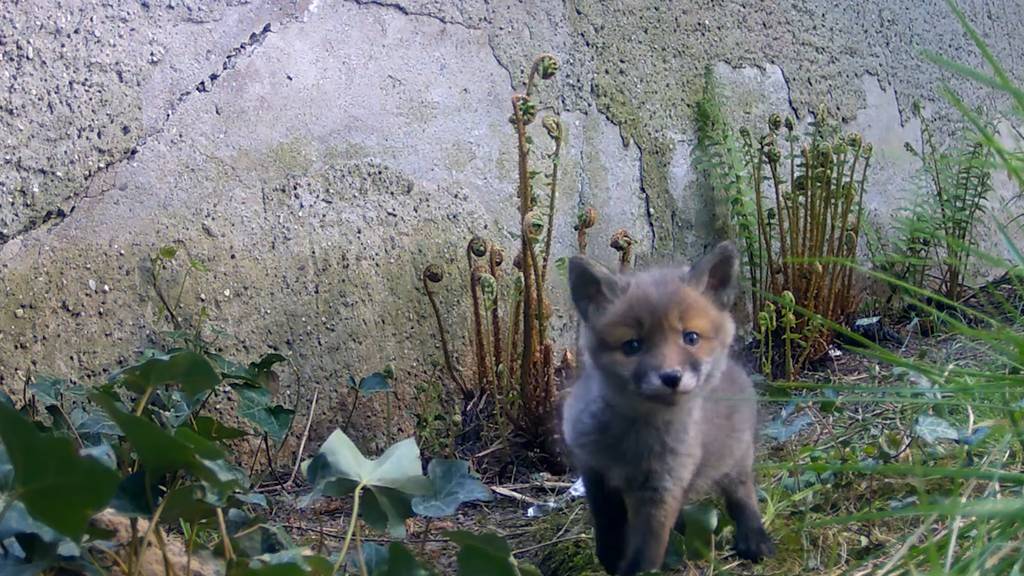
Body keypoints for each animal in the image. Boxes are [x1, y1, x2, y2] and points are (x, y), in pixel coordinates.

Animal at [562, 241, 774, 575]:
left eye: (691, 338)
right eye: (632, 346)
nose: (671, 377)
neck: (634, 441)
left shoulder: (663, 488)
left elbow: (645, 554)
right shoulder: (594, 470)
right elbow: (608, 527)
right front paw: (610, 557)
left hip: (736, 459)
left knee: (743, 495)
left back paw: (753, 537)